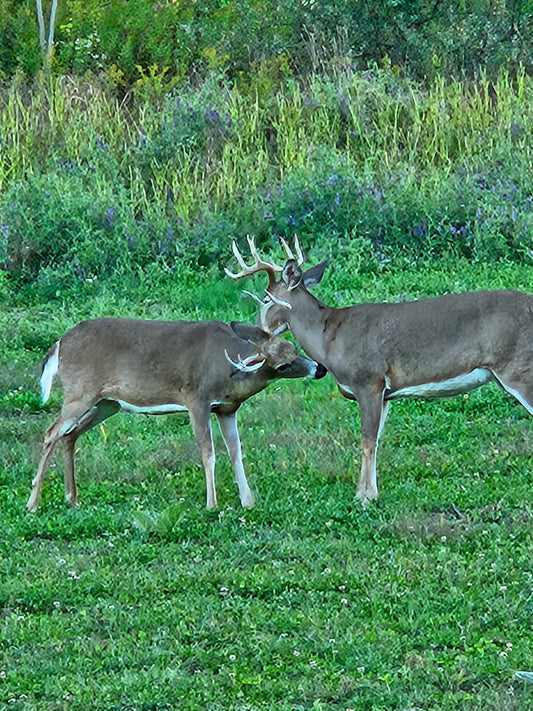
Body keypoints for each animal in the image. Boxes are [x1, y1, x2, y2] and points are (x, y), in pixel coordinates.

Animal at [27, 317, 326, 512]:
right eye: (283, 365)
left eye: (294, 348)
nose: (320, 369)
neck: (228, 370)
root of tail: (59, 343)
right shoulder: (196, 399)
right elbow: (208, 453)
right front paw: (212, 505)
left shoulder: (227, 409)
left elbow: (236, 452)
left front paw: (248, 502)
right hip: (80, 392)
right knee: (51, 432)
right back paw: (33, 503)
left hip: (107, 403)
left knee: (69, 435)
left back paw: (72, 498)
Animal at [225, 236, 533, 503]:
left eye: (266, 300)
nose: (255, 332)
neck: (329, 339)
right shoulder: (385, 394)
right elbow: (376, 439)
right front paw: (364, 491)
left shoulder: (369, 381)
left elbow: (367, 440)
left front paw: (365, 497)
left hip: (518, 368)